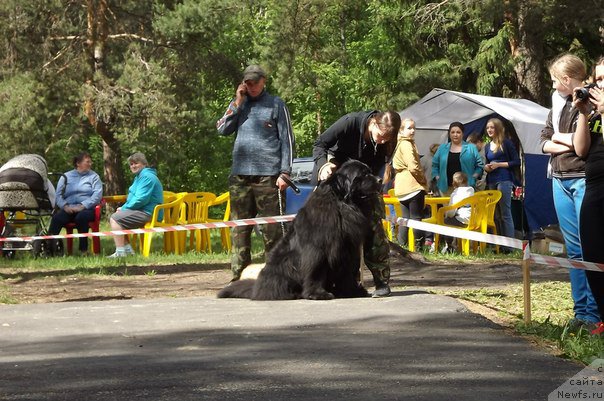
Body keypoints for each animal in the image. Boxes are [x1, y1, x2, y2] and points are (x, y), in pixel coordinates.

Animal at [218, 158, 382, 298]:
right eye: (363, 175)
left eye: (369, 171)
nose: (380, 180)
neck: (342, 206)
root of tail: (256, 288)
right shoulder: (316, 250)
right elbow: (316, 272)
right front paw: (317, 294)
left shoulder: (347, 248)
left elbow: (348, 272)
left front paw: (353, 291)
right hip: (285, 263)